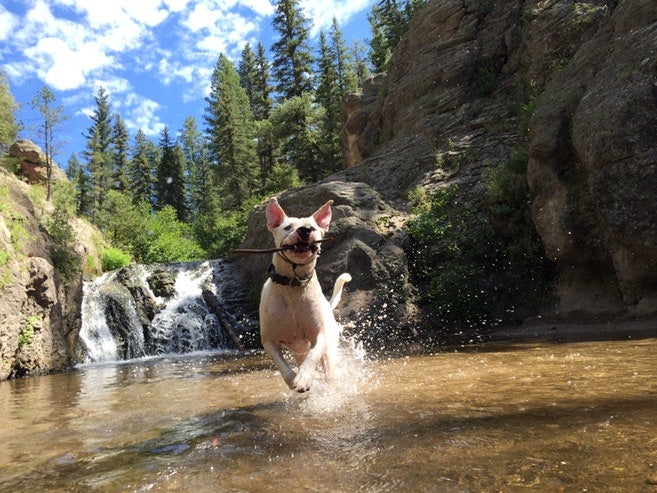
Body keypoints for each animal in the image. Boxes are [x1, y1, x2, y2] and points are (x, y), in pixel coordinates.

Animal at [258, 196, 352, 392]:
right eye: (287, 227)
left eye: (313, 227)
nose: (304, 230)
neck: (293, 285)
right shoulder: (269, 341)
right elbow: (283, 368)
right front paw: (295, 379)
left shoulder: (319, 335)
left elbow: (314, 355)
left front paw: (304, 378)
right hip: (299, 352)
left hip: (330, 350)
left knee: (329, 369)